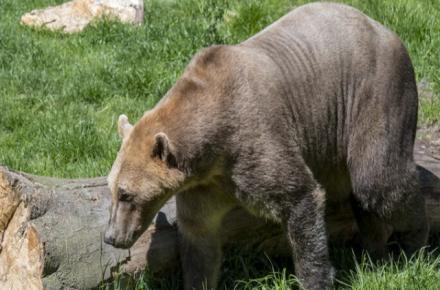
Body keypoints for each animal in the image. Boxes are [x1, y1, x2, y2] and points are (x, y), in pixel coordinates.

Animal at [103, 2, 426, 290]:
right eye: (112, 189)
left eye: (127, 194)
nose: (111, 237)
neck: (213, 150)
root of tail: (385, 29)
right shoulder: (205, 186)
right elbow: (199, 239)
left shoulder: (255, 142)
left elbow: (300, 199)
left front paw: (316, 279)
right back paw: (375, 249)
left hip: (375, 94)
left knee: (379, 181)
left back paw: (415, 244)